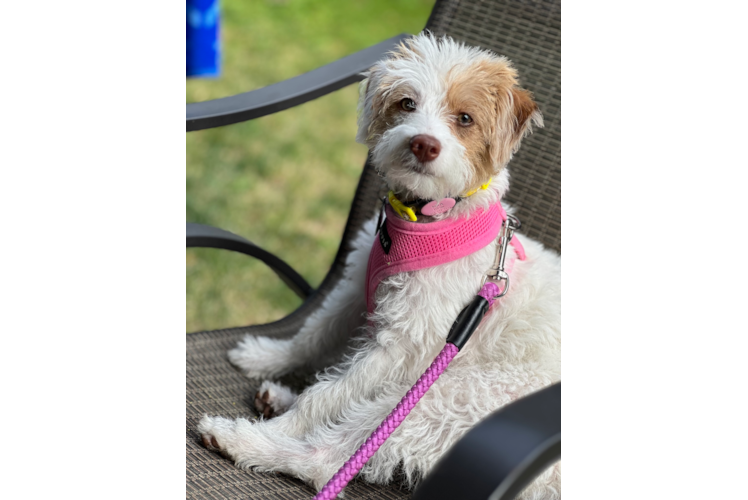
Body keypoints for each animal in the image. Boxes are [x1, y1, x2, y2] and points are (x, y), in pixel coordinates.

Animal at [196, 33, 560, 498]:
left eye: (465, 118)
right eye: (407, 103)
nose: (423, 143)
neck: (427, 221)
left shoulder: (401, 348)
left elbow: (324, 398)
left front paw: (283, 424)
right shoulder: (354, 288)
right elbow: (312, 335)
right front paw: (266, 356)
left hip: (439, 395)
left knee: (330, 461)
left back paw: (245, 439)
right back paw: (276, 397)